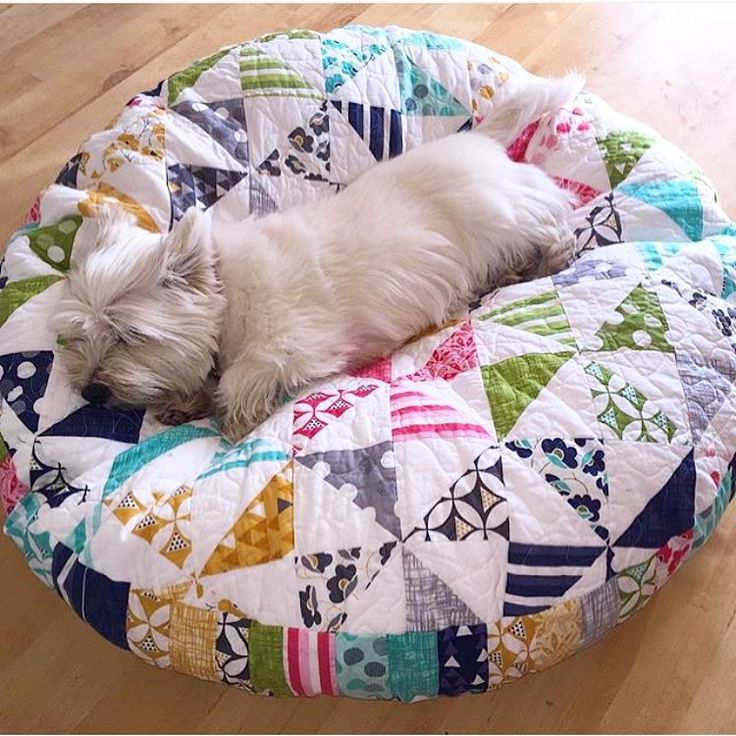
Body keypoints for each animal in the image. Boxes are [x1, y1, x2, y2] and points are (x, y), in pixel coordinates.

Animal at [54, 72, 583, 442]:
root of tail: (478, 139)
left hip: (502, 213)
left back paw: (548, 257)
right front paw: (186, 399)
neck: (226, 291)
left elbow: (240, 380)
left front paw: (232, 419)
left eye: (129, 335)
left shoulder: (290, 345)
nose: (90, 392)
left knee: (553, 215)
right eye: (79, 337)